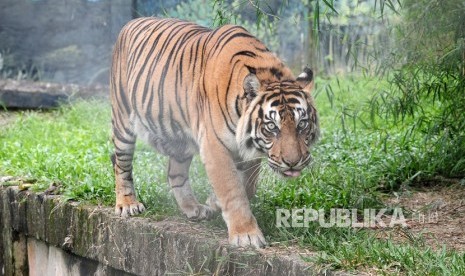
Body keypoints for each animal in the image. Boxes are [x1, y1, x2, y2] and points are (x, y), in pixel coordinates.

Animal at [109, 17, 320, 250]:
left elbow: (247, 186)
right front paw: (246, 235)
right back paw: (128, 204)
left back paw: (193, 208)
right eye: (272, 127)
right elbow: (232, 189)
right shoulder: (214, 147)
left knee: (175, 173)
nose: (293, 162)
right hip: (123, 120)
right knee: (121, 164)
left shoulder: (249, 150)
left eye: (302, 124)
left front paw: (214, 202)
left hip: (180, 139)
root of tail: (131, 22)